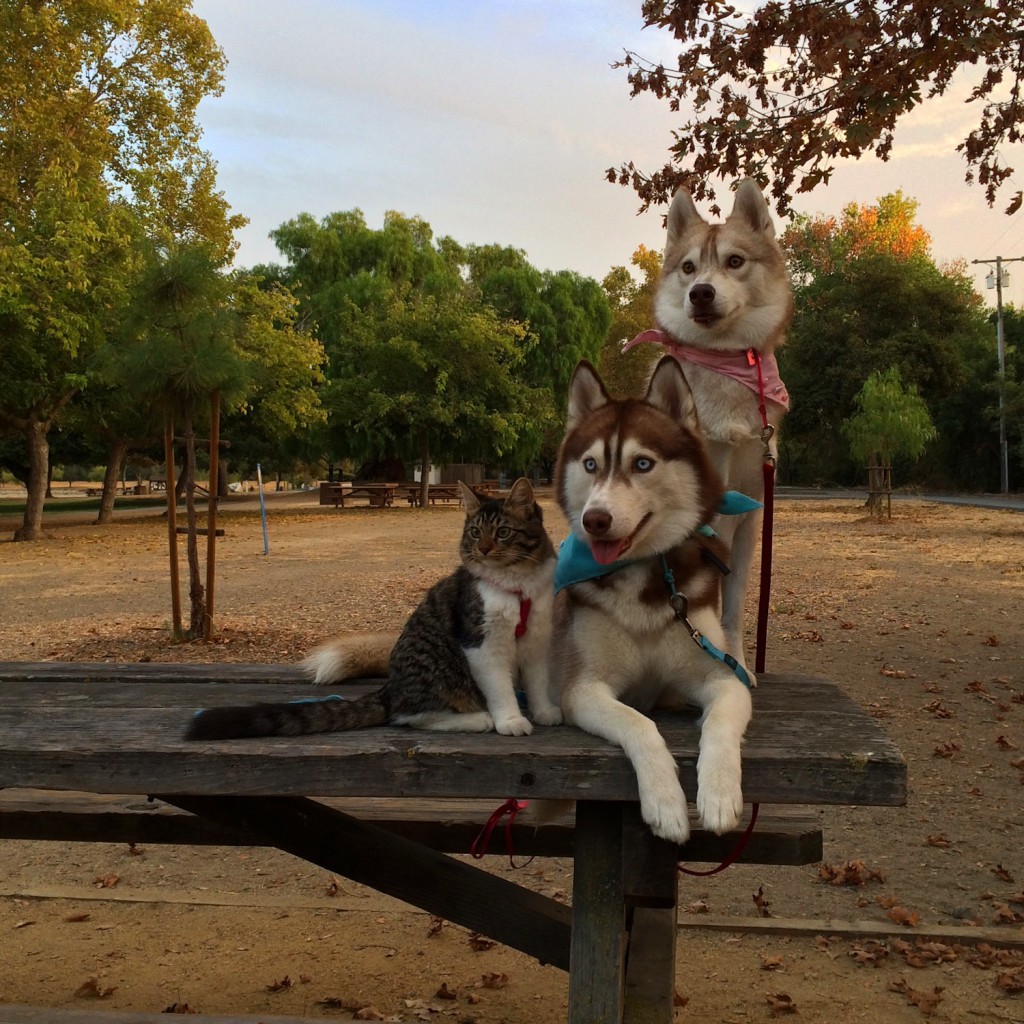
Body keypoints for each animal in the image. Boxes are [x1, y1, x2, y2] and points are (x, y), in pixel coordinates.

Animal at [188, 475, 565, 741]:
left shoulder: (538, 640)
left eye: (502, 532)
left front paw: (544, 711)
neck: (516, 585)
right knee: (408, 715)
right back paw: (477, 719)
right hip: (439, 668)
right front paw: (511, 719)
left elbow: (538, 681)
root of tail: (389, 689)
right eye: (474, 532)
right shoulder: (482, 644)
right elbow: (500, 689)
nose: (483, 549)